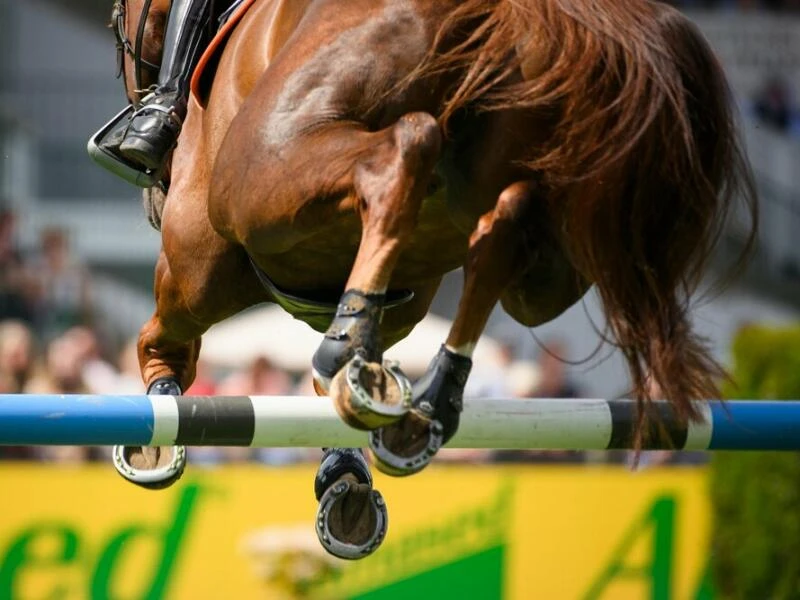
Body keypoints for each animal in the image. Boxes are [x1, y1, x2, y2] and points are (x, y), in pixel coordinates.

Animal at [114, 0, 756, 556]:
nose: (152, 196)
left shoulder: (195, 261)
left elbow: (160, 342)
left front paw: (157, 435)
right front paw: (350, 457)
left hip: (260, 175)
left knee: (403, 151)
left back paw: (358, 356)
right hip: (548, 223)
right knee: (506, 224)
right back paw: (431, 400)